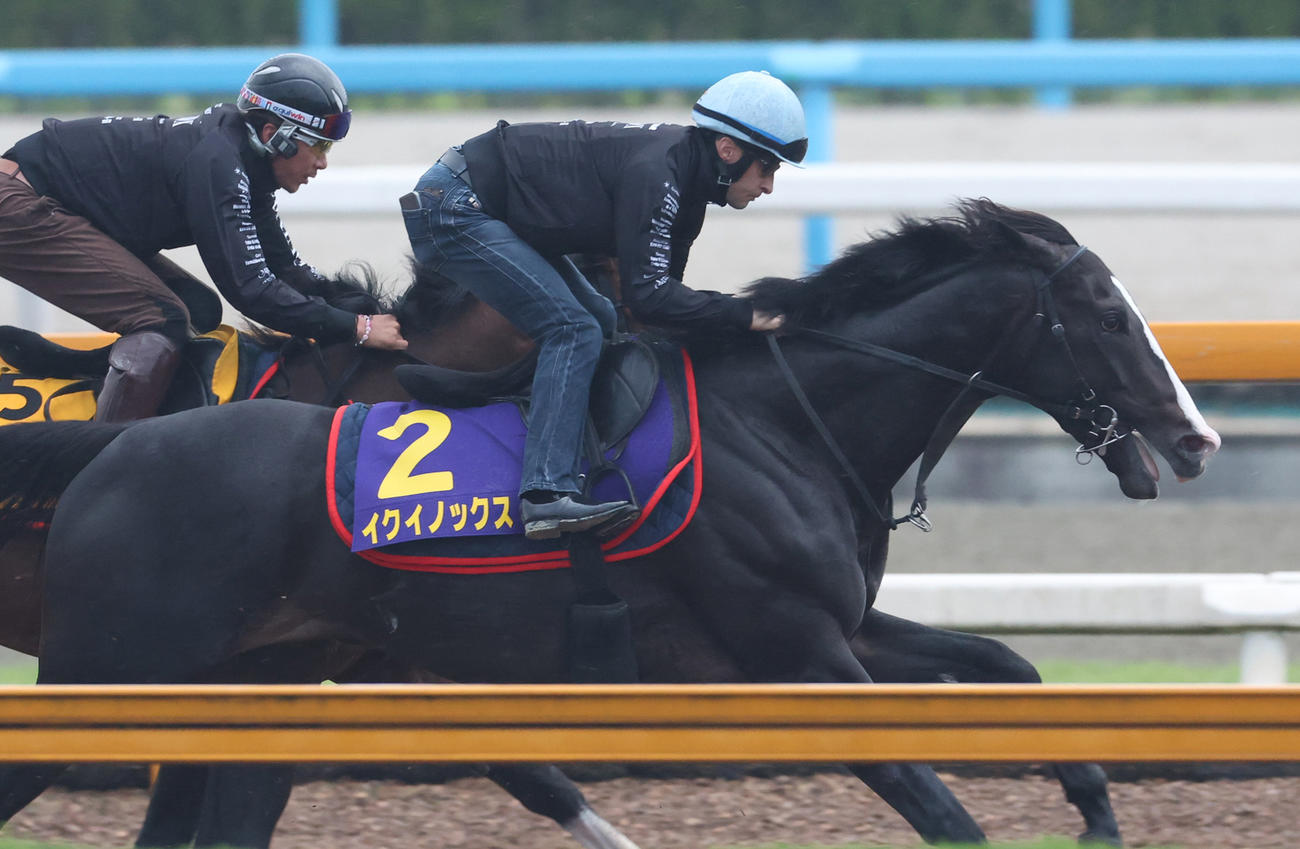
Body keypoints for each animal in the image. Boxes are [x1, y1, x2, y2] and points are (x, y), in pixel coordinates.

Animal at [0, 200, 1220, 847]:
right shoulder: (796, 654)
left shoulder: (842, 629)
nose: (1196, 434)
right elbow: (943, 807)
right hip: (106, 669)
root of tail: (117, 447)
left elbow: (1008, 663)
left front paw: (1095, 807)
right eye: (1106, 314)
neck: (786, 417)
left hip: (252, 677)